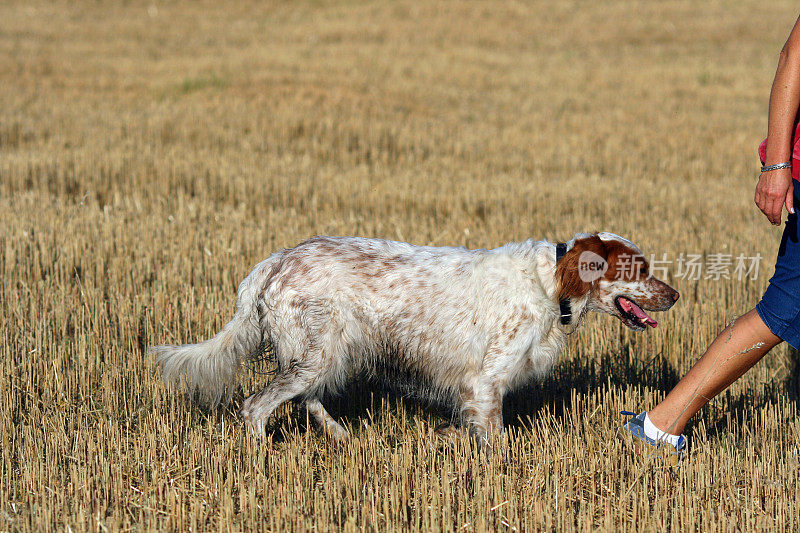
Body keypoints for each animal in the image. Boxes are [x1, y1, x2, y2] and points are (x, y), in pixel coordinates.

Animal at [150, 233, 676, 440]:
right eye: (639, 270)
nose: (673, 294)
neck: (552, 284)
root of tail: (273, 262)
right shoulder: (486, 383)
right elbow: (497, 442)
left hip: (322, 353)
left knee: (306, 399)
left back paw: (342, 437)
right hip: (316, 353)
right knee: (256, 406)